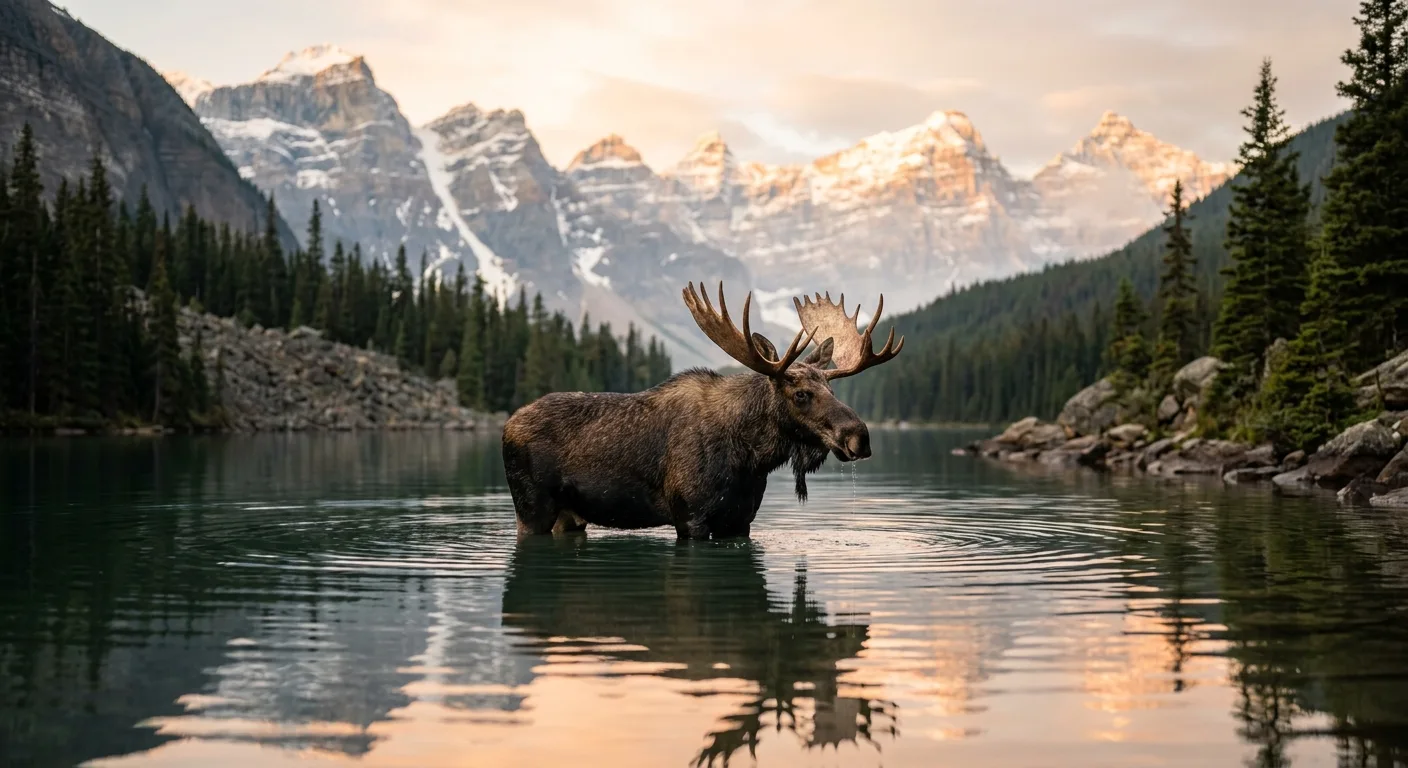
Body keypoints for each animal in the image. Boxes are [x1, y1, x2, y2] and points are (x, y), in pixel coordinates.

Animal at [501, 281, 905, 540]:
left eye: (831, 388)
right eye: (801, 394)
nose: (859, 437)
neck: (751, 458)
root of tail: (507, 426)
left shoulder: (741, 519)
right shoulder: (691, 516)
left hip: (570, 515)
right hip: (531, 508)